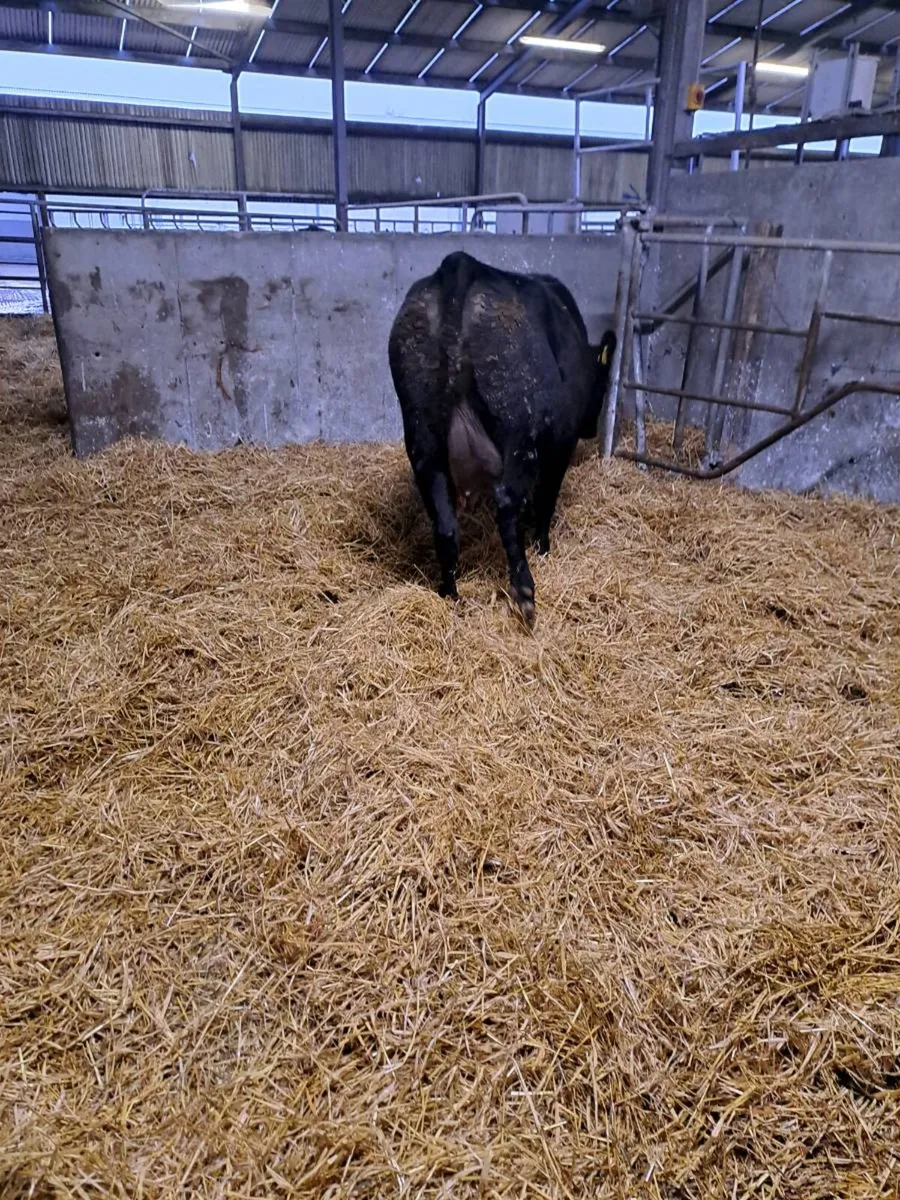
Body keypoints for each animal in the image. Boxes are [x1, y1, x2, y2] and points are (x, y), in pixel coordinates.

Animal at [388, 250, 616, 626]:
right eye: (603, 382)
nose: (591, 430)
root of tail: (460, 264)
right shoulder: (560, 446)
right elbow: (545, 500)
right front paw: (543, 546)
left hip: (423, 435)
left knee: (444, 520)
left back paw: (449, 594)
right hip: (519, 435)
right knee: (508, 504)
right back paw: (524, 591)